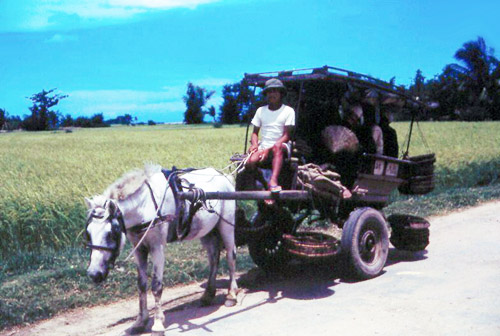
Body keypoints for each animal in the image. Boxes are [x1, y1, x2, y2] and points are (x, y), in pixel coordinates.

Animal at [84, 164, 238, 334]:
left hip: (227, 225)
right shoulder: (139, 249)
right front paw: (140, 322)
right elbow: (141, 285)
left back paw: (232, 295)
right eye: (88, 233)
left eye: (111, 234)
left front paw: (158, 323)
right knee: (214, 258)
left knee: (230, 257)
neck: (145, 206)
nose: (94, 274)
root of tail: (222, 175)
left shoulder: (157, 248)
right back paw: (208, 294)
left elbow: (156, 286)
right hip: (207, 231)